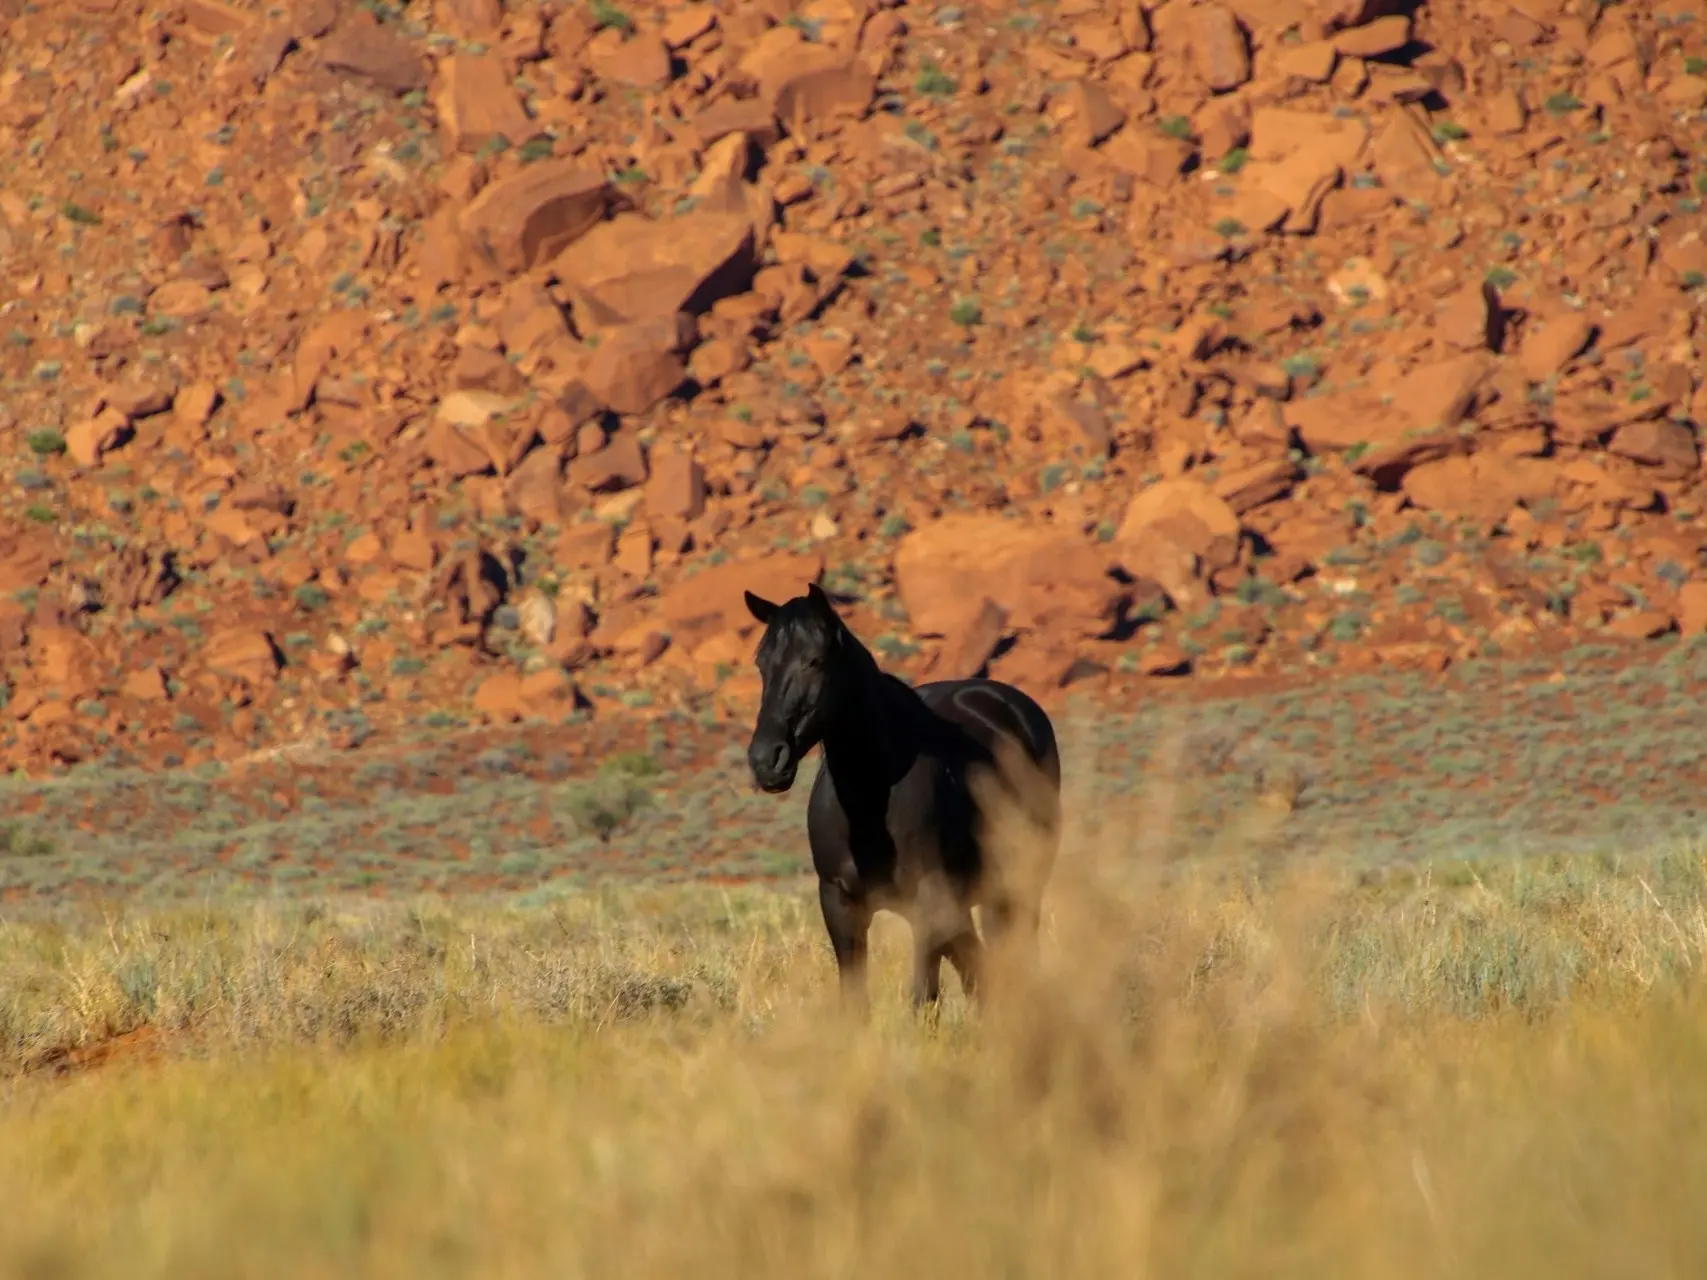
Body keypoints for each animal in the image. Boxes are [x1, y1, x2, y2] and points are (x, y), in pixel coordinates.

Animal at [740, 587, 1058, 1017]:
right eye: (761, 664)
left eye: (815, 660)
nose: (766, 761)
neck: (869, 799)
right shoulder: (840, 905)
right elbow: (857, 1001)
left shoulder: (929, 903)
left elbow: (924, 997)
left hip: (1020, 885)